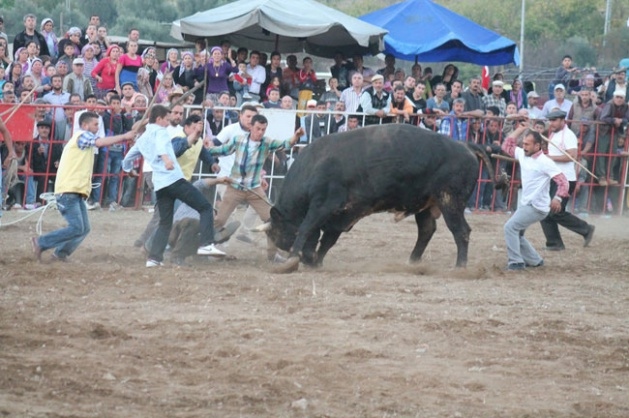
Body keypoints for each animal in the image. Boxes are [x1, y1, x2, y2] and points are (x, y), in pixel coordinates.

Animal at [262, 124, 502, 272]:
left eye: (277, 229)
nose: (278, 244)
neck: (314, 166)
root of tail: (464, 145)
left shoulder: (323, 206)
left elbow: (306, 229)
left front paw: (293, 260)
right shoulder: (340, 216)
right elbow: (324, 240)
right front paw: (315, 261)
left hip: (450, 201)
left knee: (461, 231)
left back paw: (460, 266)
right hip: (426, 204)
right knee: (426, 230)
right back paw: (412, 262)